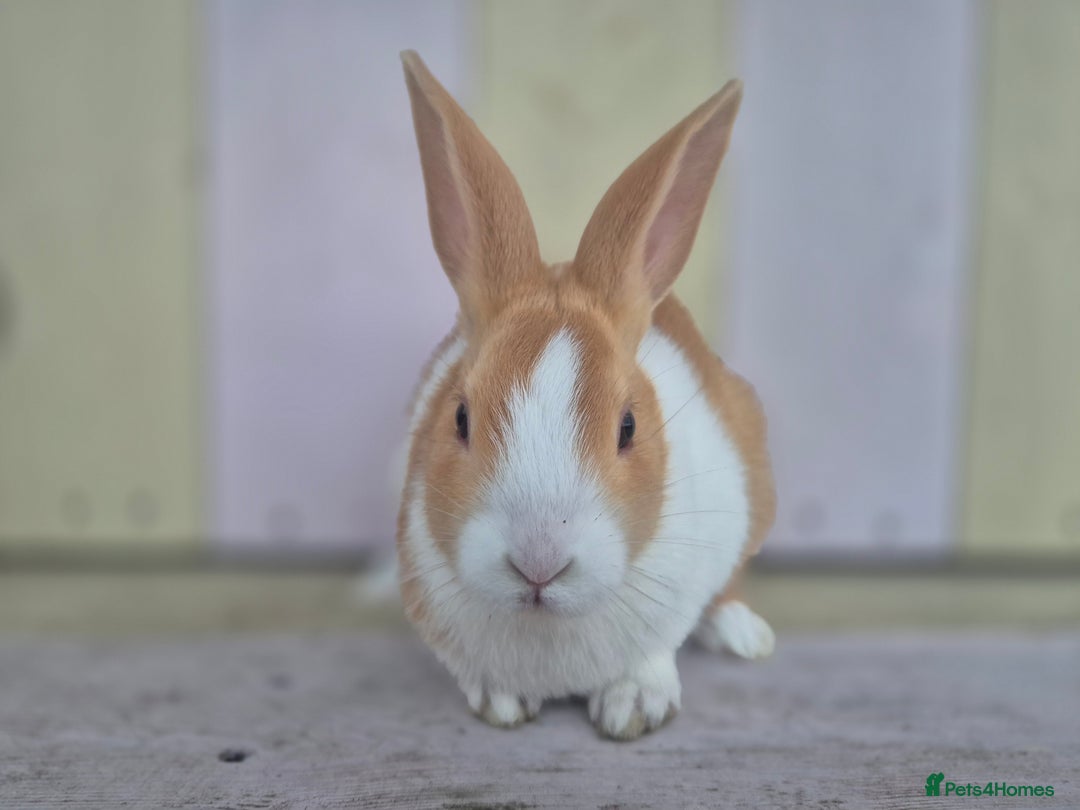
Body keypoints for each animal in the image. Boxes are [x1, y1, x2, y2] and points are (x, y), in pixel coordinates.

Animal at [397, 50, 776, 741]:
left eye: (628, 426)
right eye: (460, 417)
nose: (538, 564)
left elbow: (655, 652)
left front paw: (634, 707)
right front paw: (501, 703)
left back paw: (743, 635)